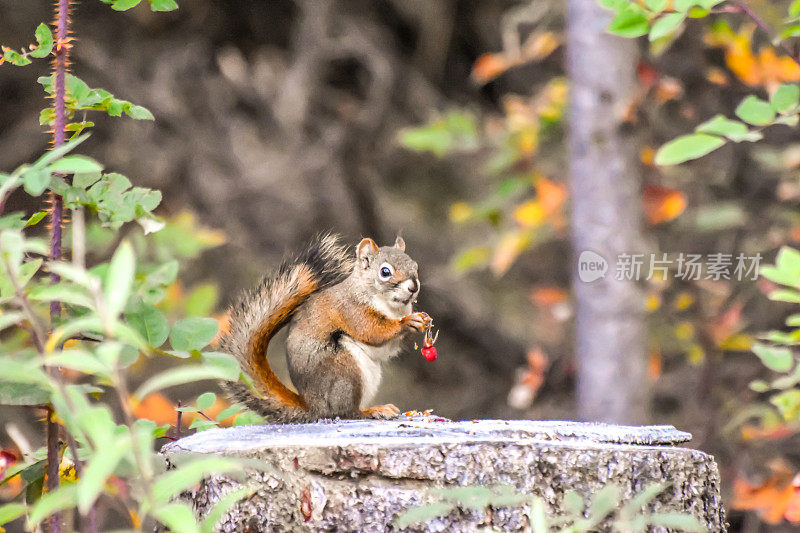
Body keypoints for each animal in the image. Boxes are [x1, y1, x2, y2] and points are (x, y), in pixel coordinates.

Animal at [219, 235, 432, 422]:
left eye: (415, 266)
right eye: (385, 272)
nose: (414, 287)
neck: (391, 306)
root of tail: (314, 407)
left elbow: (389, 348)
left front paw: (421, 321)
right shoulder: (351, 310)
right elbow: (372, 331)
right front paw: (406, 323)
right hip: (344, 372)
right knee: (346, 412)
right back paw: (372, 410)